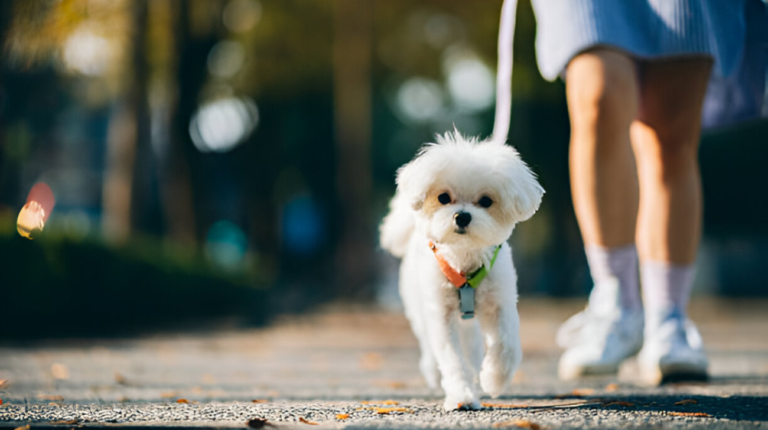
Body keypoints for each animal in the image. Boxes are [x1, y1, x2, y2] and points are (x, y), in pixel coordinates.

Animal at [380, 130, 544, 410]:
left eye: (486, 201)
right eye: (443, 197)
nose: (462, 216)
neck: (465, 262)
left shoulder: (501, 304)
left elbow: (507, 346)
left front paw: (494, 380)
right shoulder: (441, 315)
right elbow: (452, 360)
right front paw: (462, 395)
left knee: (474, 347)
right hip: (418, 306)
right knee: (431, 346)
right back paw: (436, 374)